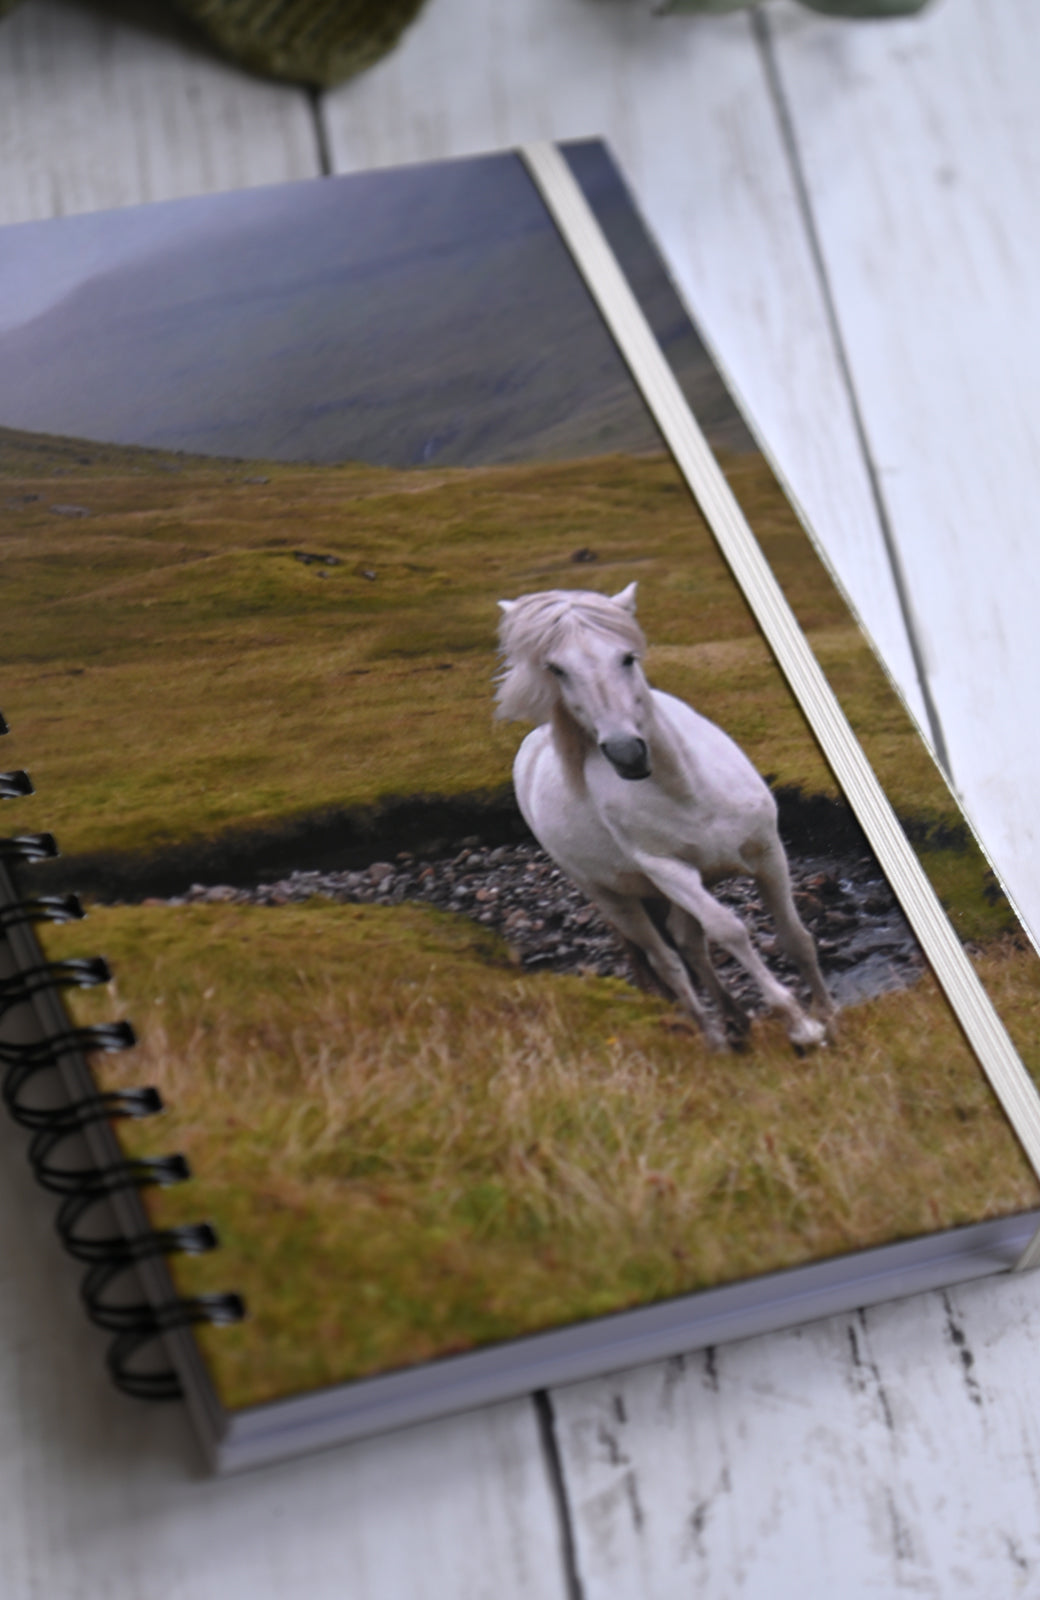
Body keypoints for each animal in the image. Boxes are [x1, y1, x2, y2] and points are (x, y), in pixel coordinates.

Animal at [495, 583, 835, 1052]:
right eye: (556, 669)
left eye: (627, 657)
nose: (627, 753)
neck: (686, 788)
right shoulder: (670, 872)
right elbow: (729, 930)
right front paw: (799, 1024)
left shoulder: (769, 854)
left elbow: (794, 936)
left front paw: (827, 1013)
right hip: (616, 897)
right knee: (668, 960)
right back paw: (715, 1038)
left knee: (688, 944)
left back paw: (736, 1019)